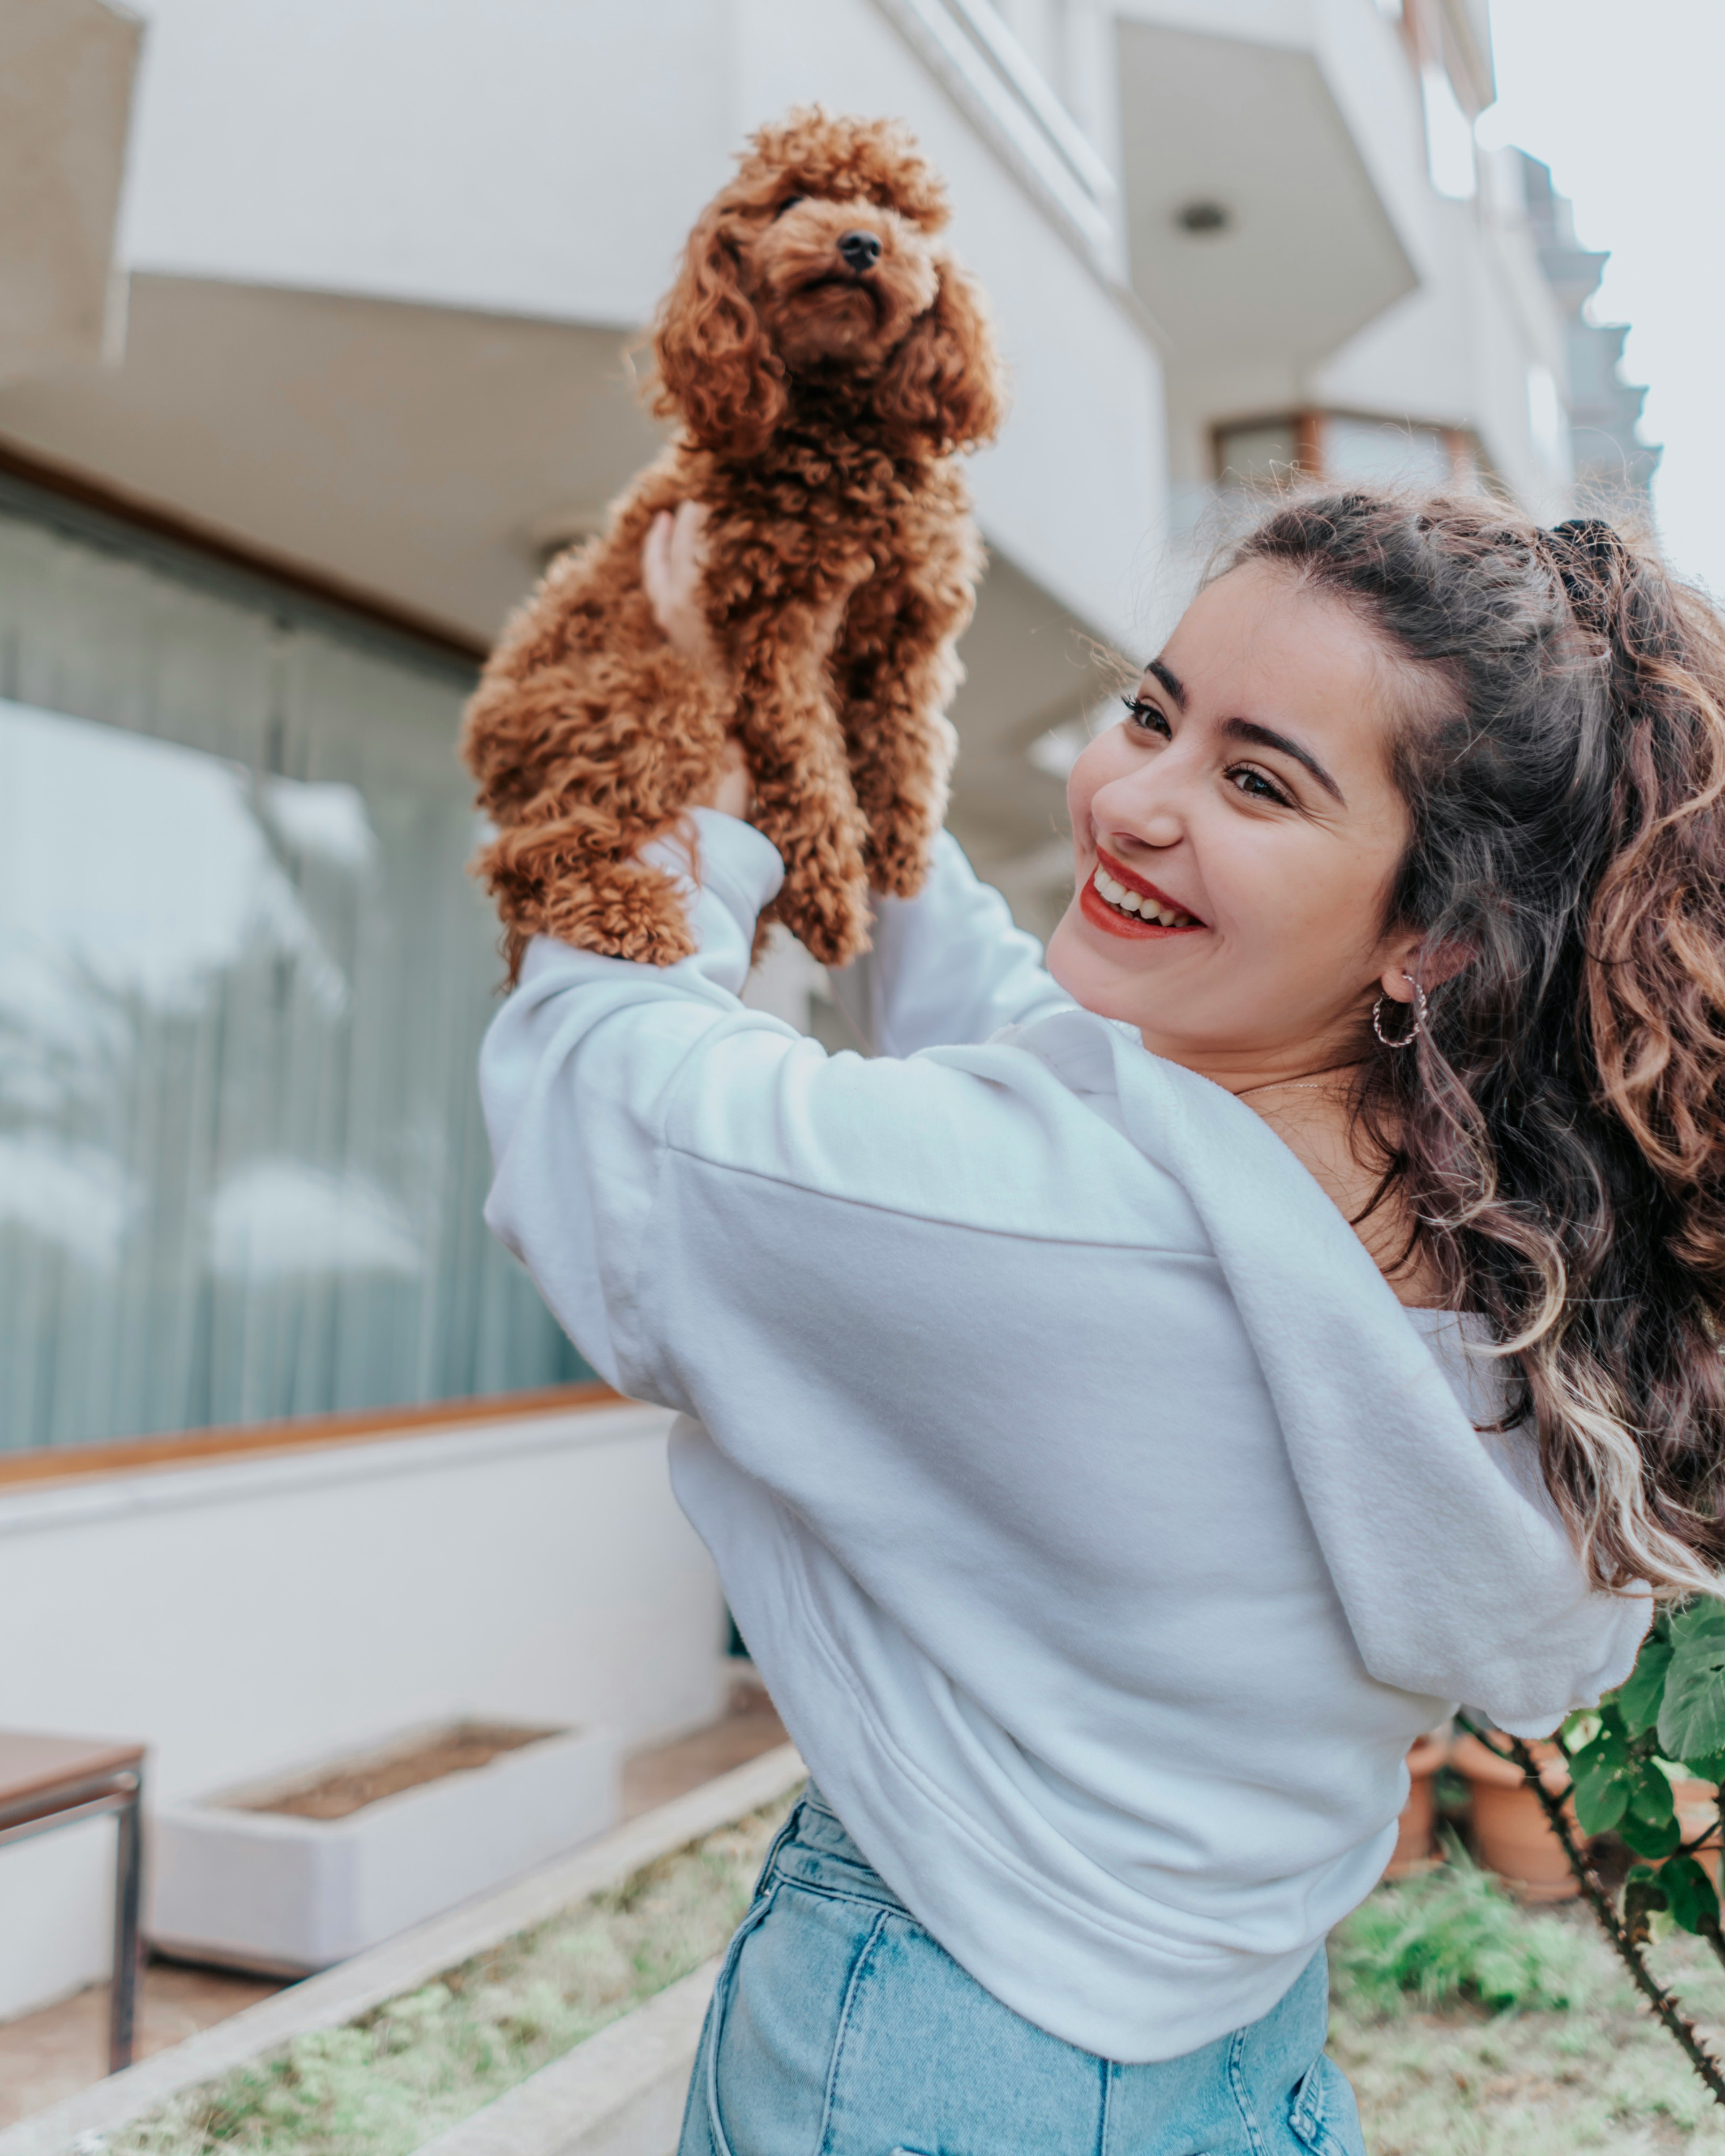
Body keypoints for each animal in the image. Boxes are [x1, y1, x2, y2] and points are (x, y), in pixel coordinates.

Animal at [457, 109, 1009, 970]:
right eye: (792, 202)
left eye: (897, 211)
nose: (861, 243)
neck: (839, 422)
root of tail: (482, 743)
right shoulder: (773, 627)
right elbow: (809, 758)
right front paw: (832, 888)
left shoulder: (911, 628)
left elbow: (909, 740)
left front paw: (899, 852)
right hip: (652, 694)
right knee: (526, 856)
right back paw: (629, 912)